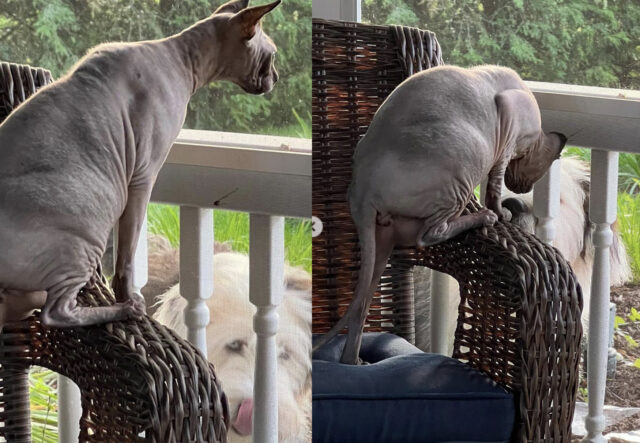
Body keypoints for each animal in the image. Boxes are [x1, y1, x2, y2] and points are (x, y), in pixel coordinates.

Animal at [0, 0, 280, 330]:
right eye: (272, 56)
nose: (276, 77)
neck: (182, 57)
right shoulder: (144, 175)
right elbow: (127, 254)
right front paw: (126, 296)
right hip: (92, 224)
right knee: (55, 313)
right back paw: (125, 310)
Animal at [314, 65, 564, 364]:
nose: (522, 189)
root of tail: (363, 187)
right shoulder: (507, 129)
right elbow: (494, 185)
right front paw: (499, 212)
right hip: (465, 161)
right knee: (429, 234)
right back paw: (483, 218)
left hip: (382, 242)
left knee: (361, 307)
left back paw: (355, 361)